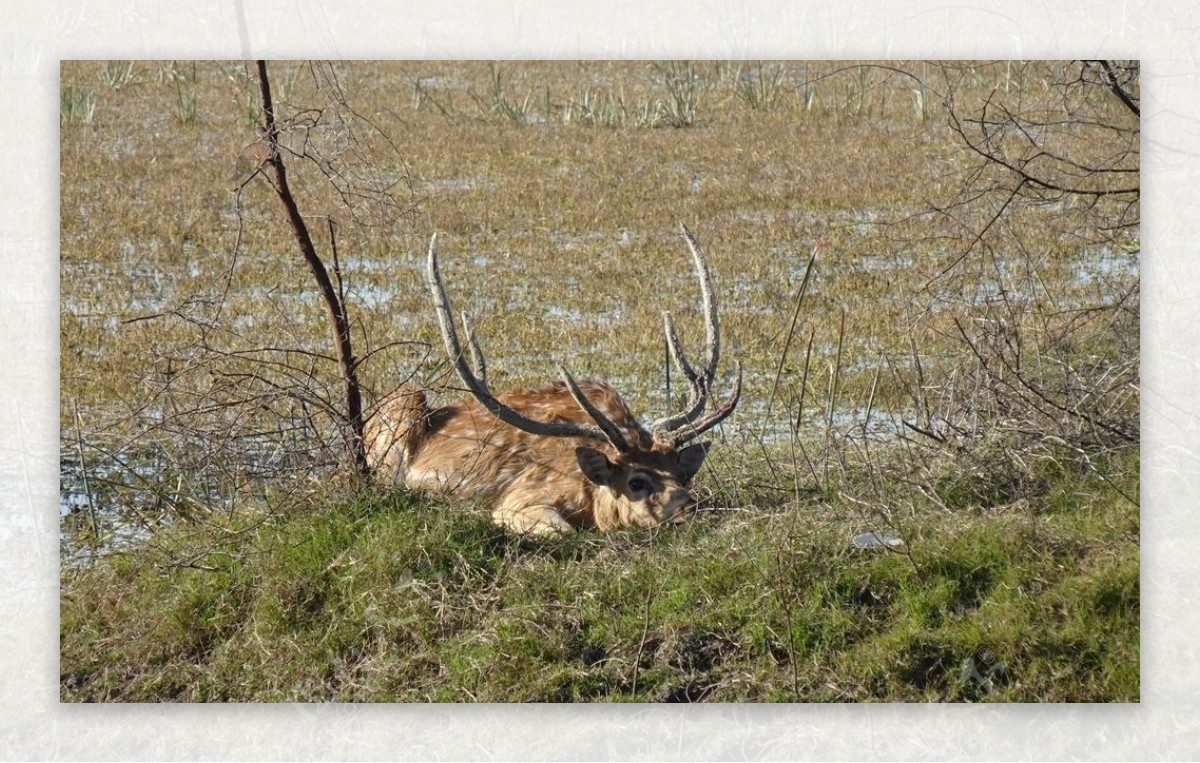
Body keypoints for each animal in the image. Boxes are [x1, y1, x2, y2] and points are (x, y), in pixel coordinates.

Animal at [364, 225, 739, 537]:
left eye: (682, 473)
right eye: (637, 482)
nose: (689, 507)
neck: (586, 496)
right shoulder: (520, 497)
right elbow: (561, 530)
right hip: (404, 404)